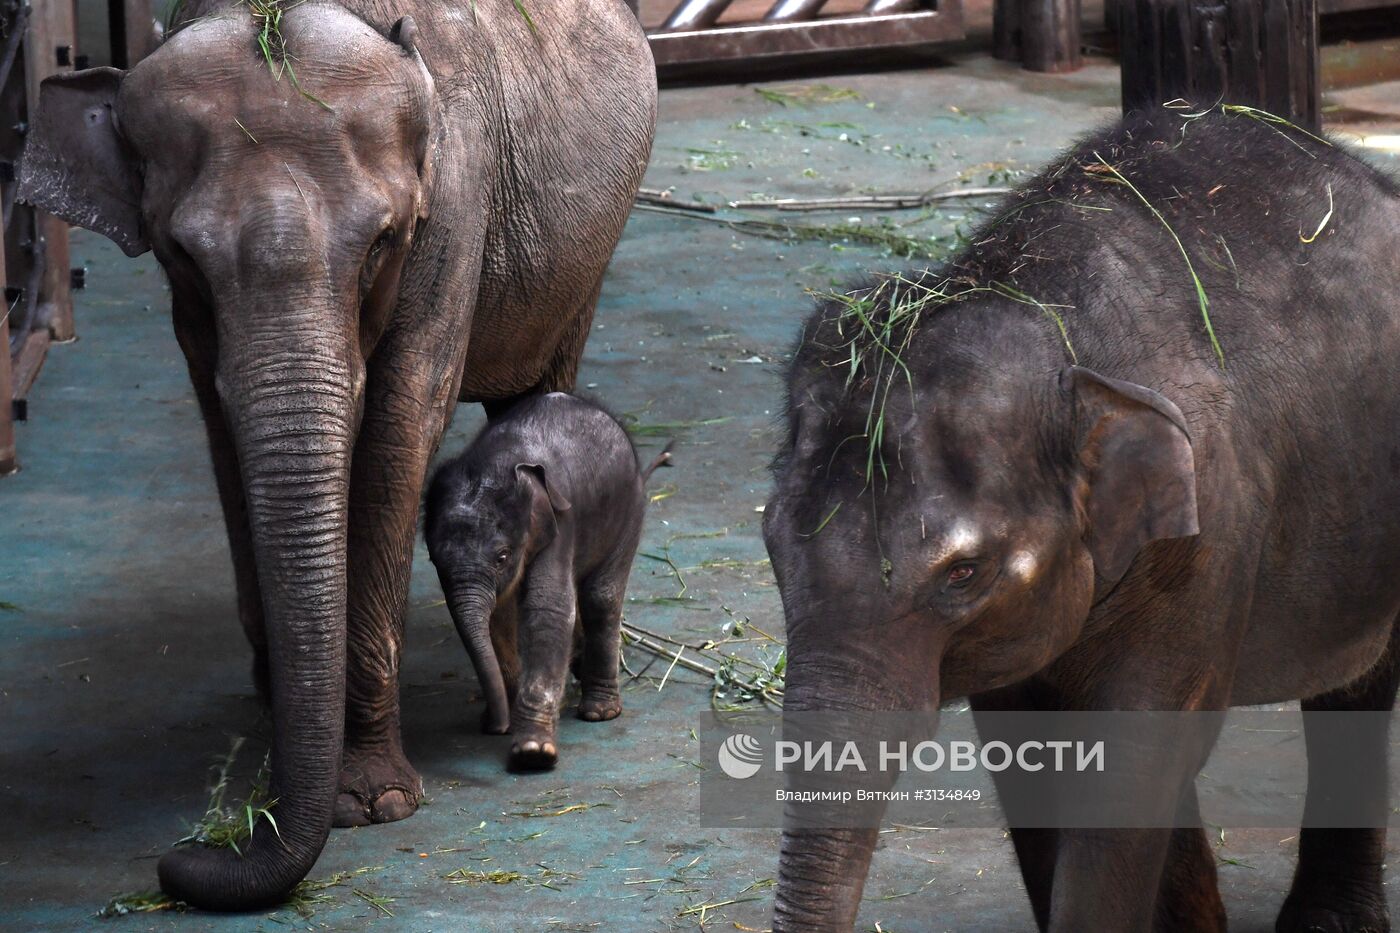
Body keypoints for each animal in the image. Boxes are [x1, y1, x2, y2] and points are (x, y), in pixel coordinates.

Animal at [422, 389, 669, 767]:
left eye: (502, 556)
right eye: (434, 559)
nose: (494, 726)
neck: (498, 462)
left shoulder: (559, 523)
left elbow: (547, 610)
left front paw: (532, 753)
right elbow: (498, 617)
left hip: (630, 509)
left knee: (601, 597)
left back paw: (599, 712)